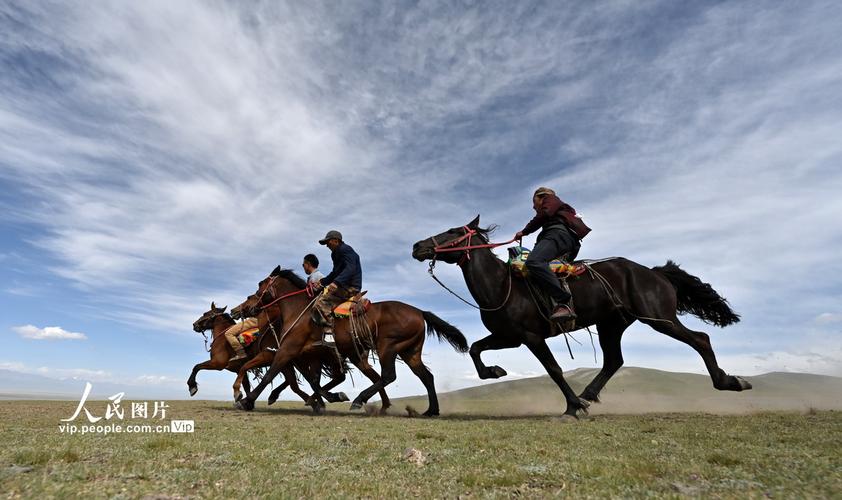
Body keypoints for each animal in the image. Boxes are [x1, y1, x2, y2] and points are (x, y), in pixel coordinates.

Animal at [231, 268, 466, 416]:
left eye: (259, 287)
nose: (243, 309)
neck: (298, 310)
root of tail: (419, 311)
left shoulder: (289, 350)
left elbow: (271, 374)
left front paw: (247, 400)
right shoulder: (311, 356)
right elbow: (314, 382)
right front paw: (325, 399)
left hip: (387, 347)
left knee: (388, 375)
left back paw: (360, 400)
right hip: (408, 352)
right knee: (425, 377)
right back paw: (430, 410)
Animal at [412, 215, 748, 418]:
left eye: (454, 231)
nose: (417, 245)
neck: (501, 285)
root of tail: (653, 273)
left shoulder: (531, 337)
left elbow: (554, 369)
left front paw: (571, 407)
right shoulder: (509, 337)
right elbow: (475, 349)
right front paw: (495, 372)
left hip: (658, 317)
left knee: (700, 339)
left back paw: (729, 381)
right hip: (612, 324)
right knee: (614, 361)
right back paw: (588, 394)